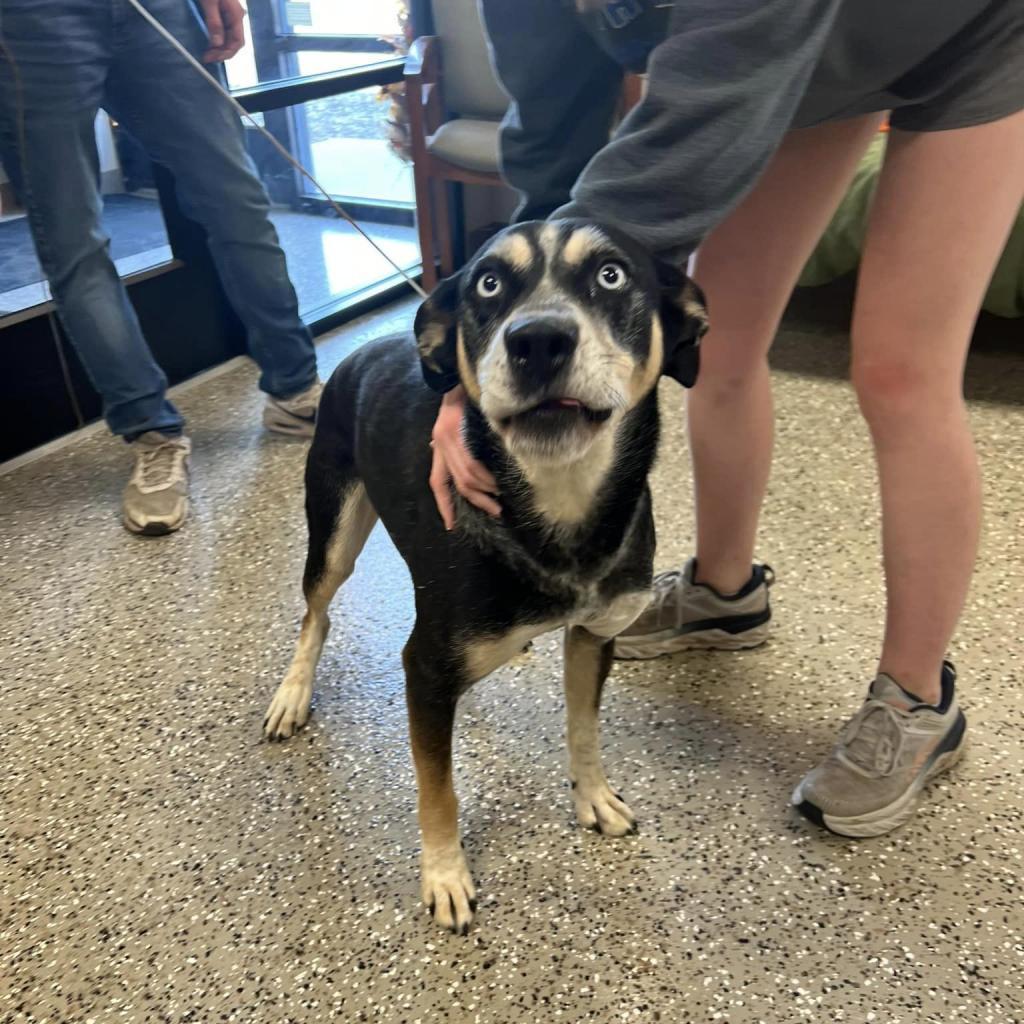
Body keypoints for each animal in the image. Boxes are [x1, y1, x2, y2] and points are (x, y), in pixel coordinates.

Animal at [264, 220, 708, 933]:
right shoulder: (424, 667)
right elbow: (436, 786)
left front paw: (593, 795)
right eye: (489, 283)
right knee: (317, 612)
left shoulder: (595, 635)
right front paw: (445, 874)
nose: (538, 340)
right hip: (333, 529)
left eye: (611, 274)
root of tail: (367, 347)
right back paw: (292, 693)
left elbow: (584, 727)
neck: (557, 510)